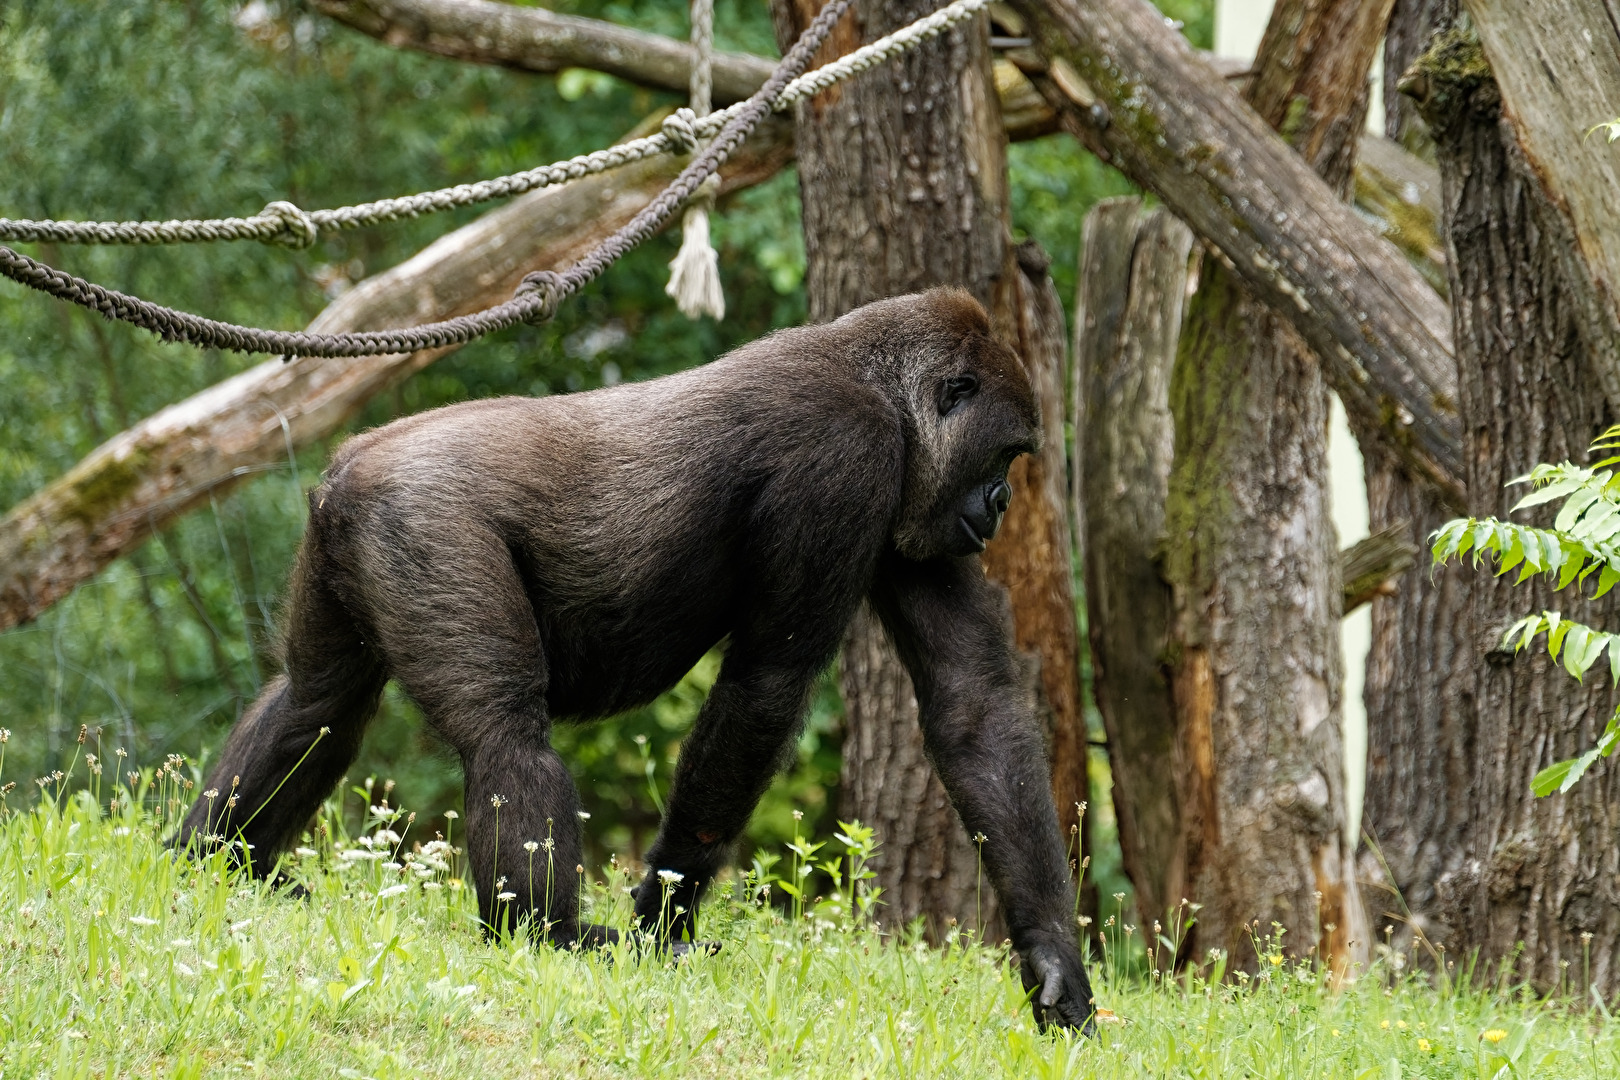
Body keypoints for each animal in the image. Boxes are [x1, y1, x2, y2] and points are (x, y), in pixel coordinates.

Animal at [175, 287, 1095, 1030]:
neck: (878, 381)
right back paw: (550, 936)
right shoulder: (846, 454)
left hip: (346, 532)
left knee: (315, 700)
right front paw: (665, 915)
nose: (1000, 504)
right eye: (1004, 454)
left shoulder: (921, 507)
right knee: (504, 735)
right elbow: (765, 688)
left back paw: (218, 859)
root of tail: (354, 465)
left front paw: (1052, 958)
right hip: (421, 518)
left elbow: (971, 705)